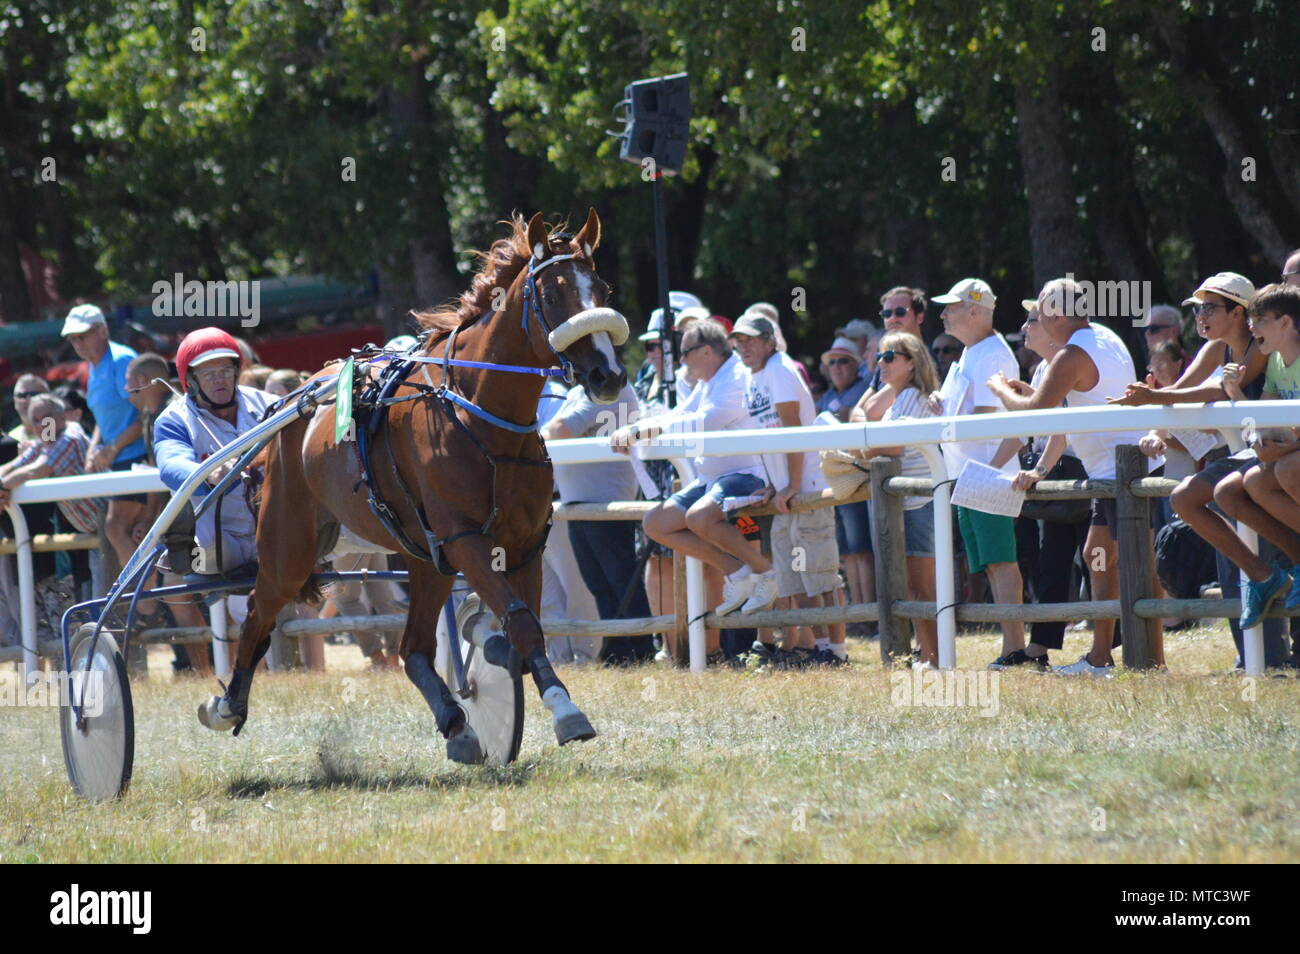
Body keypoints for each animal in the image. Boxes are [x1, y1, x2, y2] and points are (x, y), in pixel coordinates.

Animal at [197, 209, 628, 762]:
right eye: (552, 296)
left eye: (603, 288)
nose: (607, 375)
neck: (480, 414)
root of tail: (298, 401)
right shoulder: (464, 539)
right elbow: (522, 624)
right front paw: (566, 712)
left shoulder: (524, 543)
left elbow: (522, 624)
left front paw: (492, 650)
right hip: (288, 545)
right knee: (258, 611)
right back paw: (227, 704)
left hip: (423, 557)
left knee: (413, 648)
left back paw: (456, 722)